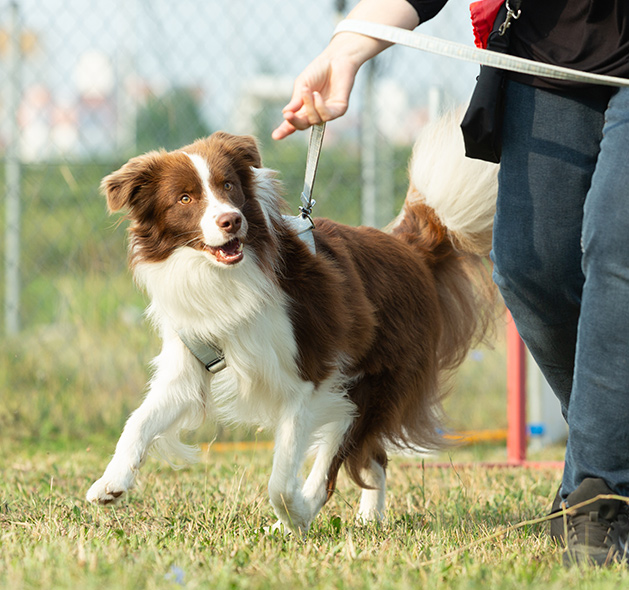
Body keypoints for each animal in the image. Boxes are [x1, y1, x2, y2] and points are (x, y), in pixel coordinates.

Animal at [86, 112, 498, 536]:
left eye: (228, 185)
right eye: (184, 198)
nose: (231, 220)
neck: (224, 276)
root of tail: (409, 248)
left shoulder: (310, 377)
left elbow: (281, 479)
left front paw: (296, 514)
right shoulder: (191, 362)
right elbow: (139, 421)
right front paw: (111, 482)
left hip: (370, 384)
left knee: (340, 459)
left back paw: (304, 514)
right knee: (373, 457)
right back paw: (368, 518)